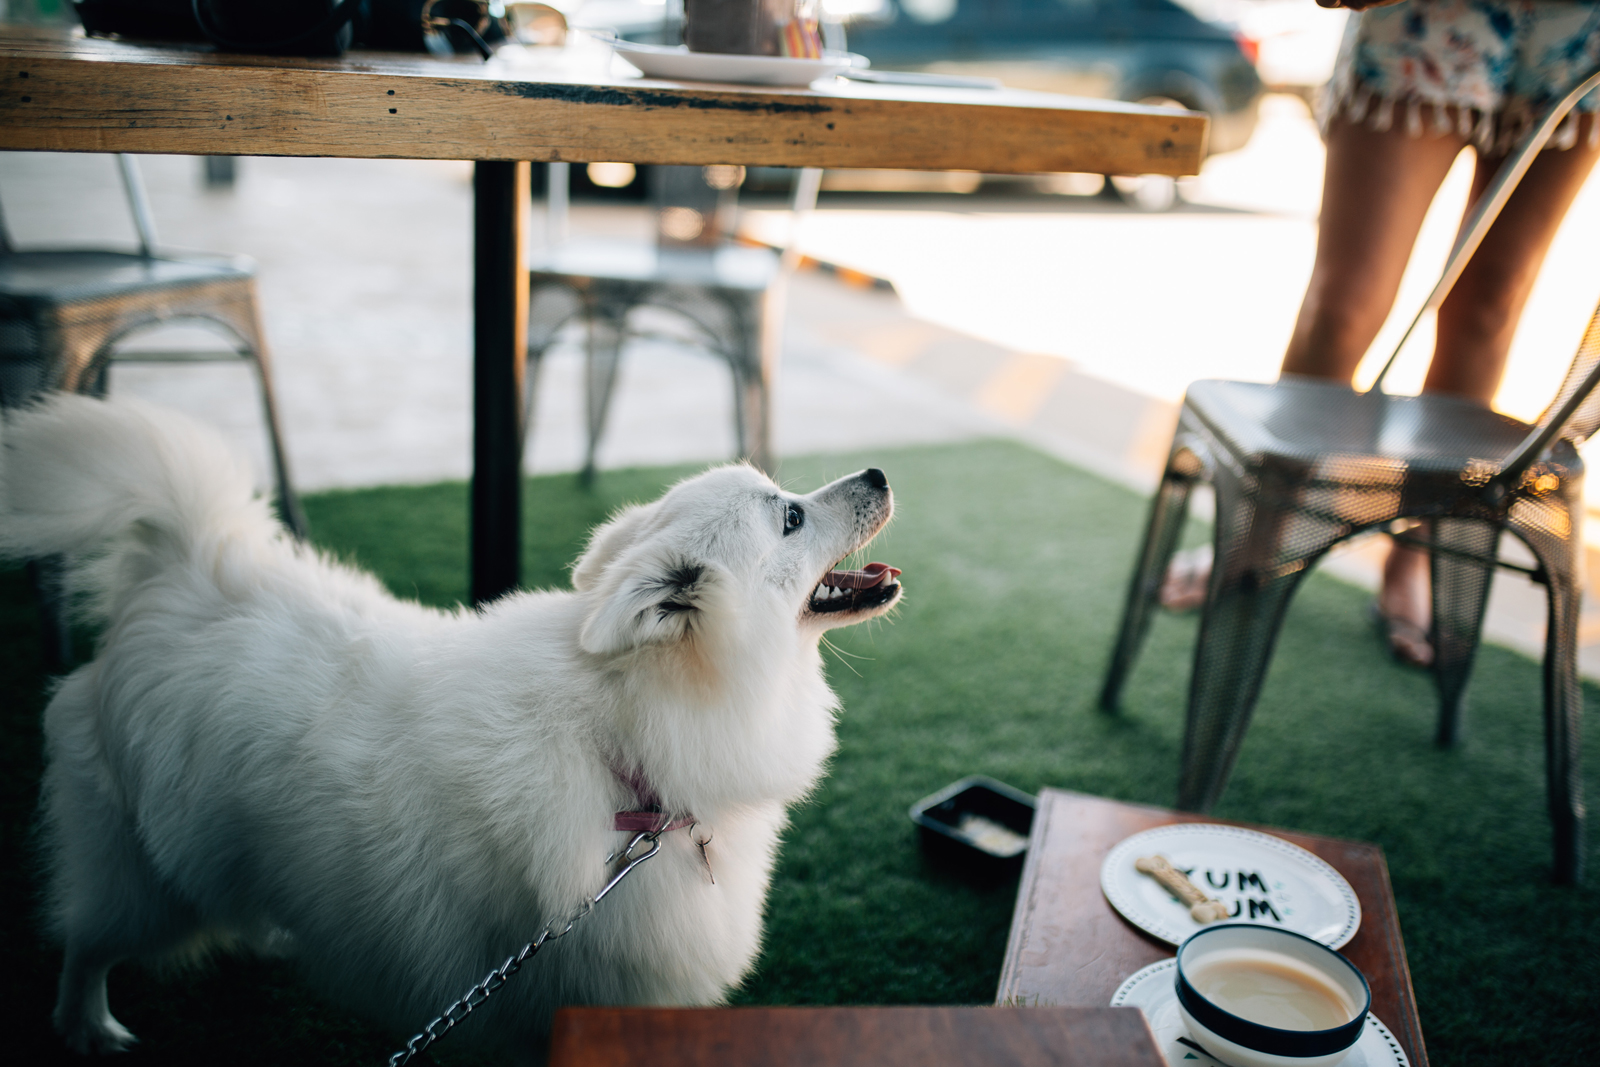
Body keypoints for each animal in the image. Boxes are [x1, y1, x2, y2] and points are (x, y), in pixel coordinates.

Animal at [0, 396, 902, 1062]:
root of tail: (186, 567)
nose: (880, 470)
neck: (628, 749)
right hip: (146, 878)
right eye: (789, 517)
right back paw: (87, 1025)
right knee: (88, 939)